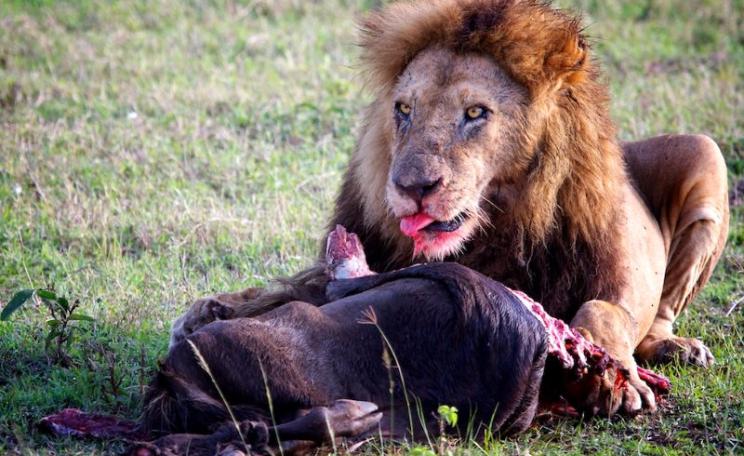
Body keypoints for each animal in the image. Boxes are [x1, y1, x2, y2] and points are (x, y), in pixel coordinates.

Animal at [172, 0, 729, 416]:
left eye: (475, 113)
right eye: (404, 110)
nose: (413, 186)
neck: (498, 227)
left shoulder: (617, 274)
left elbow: (603, 311)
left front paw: (614, 380)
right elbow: (300, 287)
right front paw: (215, 309)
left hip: (705, 152)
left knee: (660, 317)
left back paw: (679, 349)